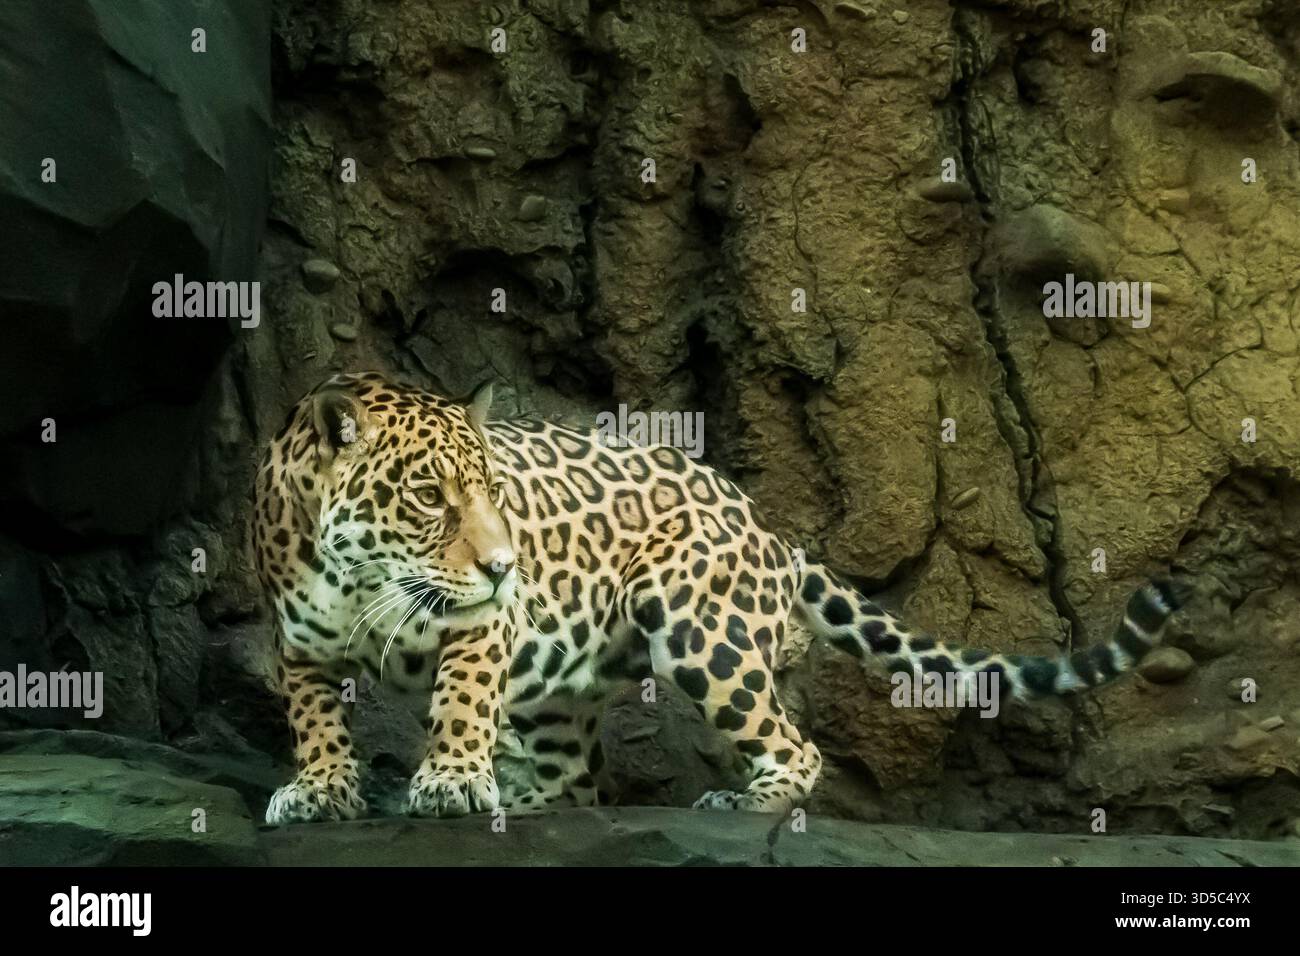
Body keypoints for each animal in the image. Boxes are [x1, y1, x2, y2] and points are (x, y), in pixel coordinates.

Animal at [252, 371, 1186, 823]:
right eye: (430, 497)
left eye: (489, 491)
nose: (505, 565)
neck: (356, 573)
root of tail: (769, 527)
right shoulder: (295, 643)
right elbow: (314, 717)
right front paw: (322, 791)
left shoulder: (482, 622)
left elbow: (460, 697)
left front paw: (447, 782)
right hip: (564, 691)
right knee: (578, 778)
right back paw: (519, 798)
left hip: (702, 629)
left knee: (794, 746)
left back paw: (743, 801)